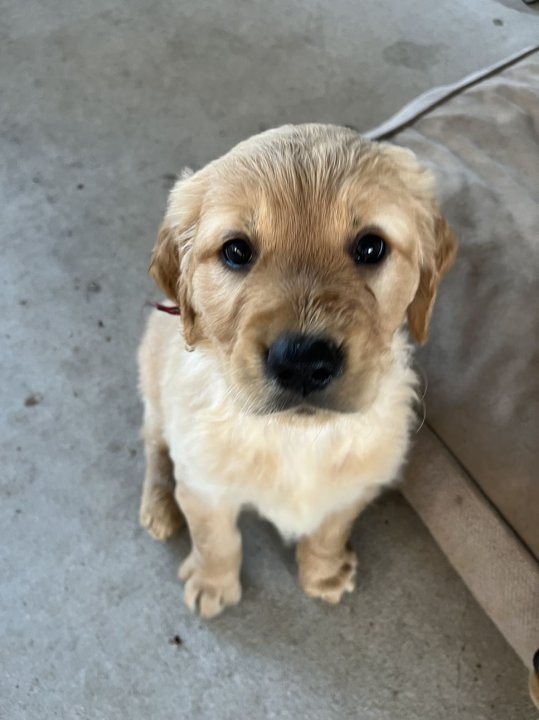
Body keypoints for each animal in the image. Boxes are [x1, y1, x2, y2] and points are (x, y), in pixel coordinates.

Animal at [138, 124, 457, 618]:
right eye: (236, 251)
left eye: (371, 246)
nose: (303, 362)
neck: (296, 436)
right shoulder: (205, 485)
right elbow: (216, 539)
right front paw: (213, 584)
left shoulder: (355, 486)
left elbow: (328, 531)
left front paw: (322, 574)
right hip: (154, 388)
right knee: (154, 447)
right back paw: (158, 506)